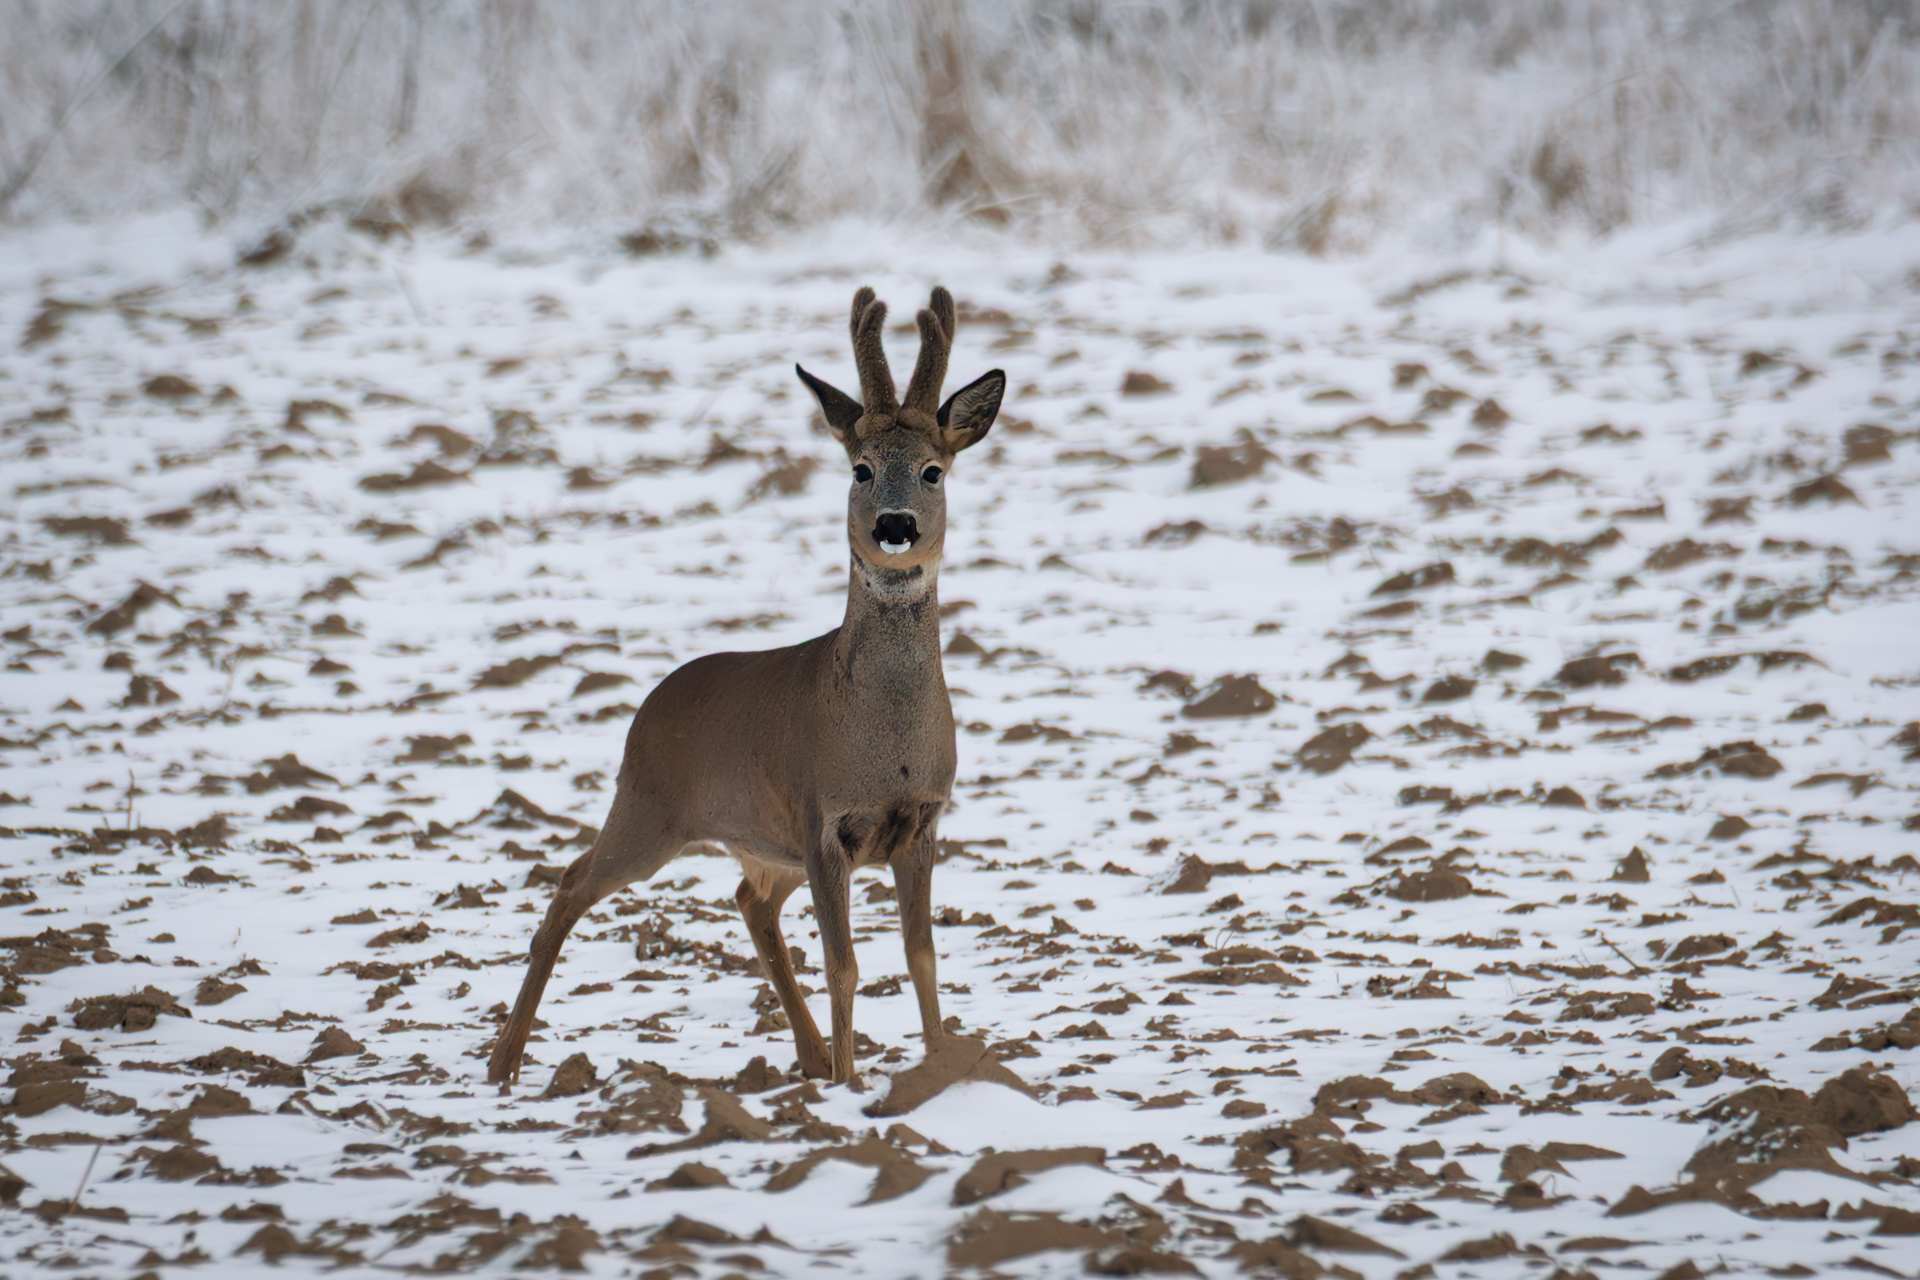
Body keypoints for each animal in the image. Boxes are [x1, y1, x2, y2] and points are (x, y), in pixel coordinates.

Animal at [486, 286, 1004, 1088]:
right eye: (859, 468)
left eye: (933, 470)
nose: (894, 527)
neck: (888, 745)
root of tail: (646, 710)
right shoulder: (826, 821)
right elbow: (845, 966)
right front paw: (852, 1084)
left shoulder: (920, 822)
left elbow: (922, 959)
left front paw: (937, 1069)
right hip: (650, 810)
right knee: (570, 884)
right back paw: (502, 1064)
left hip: (762, 839)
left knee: (748, 901)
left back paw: (809, 1054)